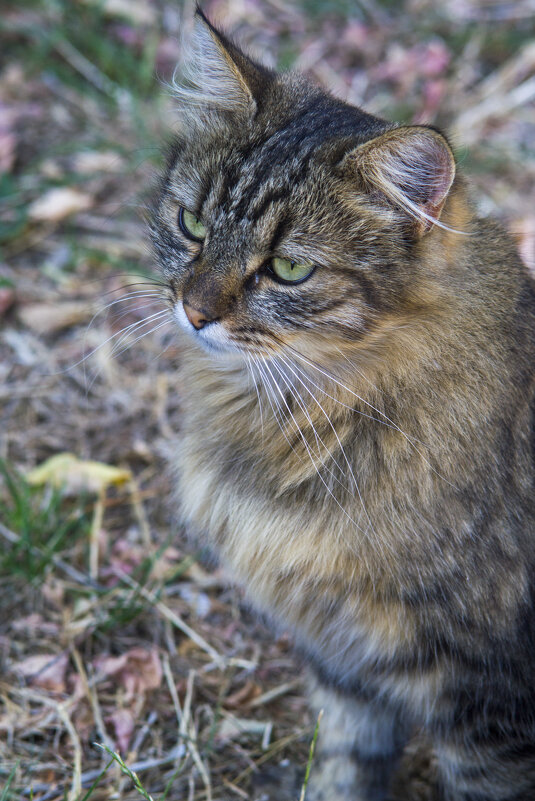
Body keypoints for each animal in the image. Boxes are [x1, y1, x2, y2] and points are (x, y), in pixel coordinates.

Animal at [149, 7, 535, 800]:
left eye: (289, 268)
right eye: (193, 225)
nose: (194, 312)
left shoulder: (484, 694)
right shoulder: (343, 656)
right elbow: (344, 763)